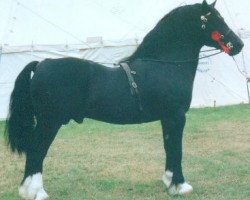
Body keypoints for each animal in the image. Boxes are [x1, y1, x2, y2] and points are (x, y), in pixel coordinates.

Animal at [4, 1, 244, 198]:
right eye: (215, 19)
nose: (239, 44)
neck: (165, 65)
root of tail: (41, 64)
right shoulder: (177, 116)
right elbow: (177, 149)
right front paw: (180, 186)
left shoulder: (167, 118)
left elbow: (169, 147)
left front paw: (169, 182)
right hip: (49, 122)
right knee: (37, 151)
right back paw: (36, 192)